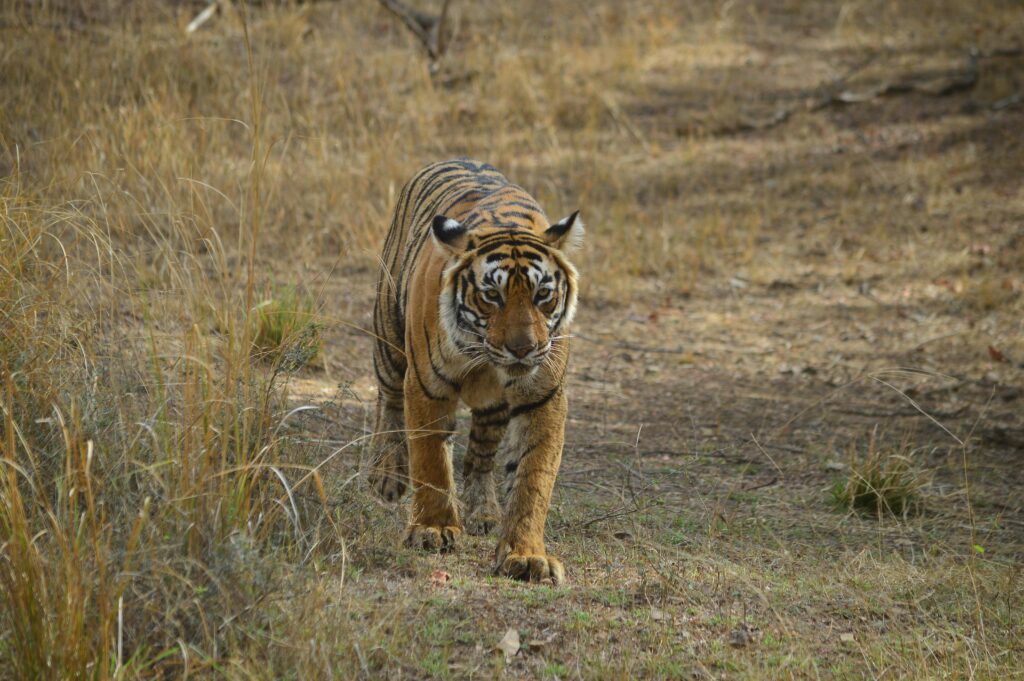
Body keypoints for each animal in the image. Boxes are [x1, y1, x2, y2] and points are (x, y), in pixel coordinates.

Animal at [366, 158, 583, 585]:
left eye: (542, 295)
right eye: (491, 296)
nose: (523, 349)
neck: (486, 359)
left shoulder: (543, 397)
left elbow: (533, 478)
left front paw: (526, 555)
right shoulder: (427, 386)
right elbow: (431, 460)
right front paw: (432, 529)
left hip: (493, 408)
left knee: (480, 456)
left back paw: (484, 512)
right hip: (390, 341)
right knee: (389, 402)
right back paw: (388, 475)